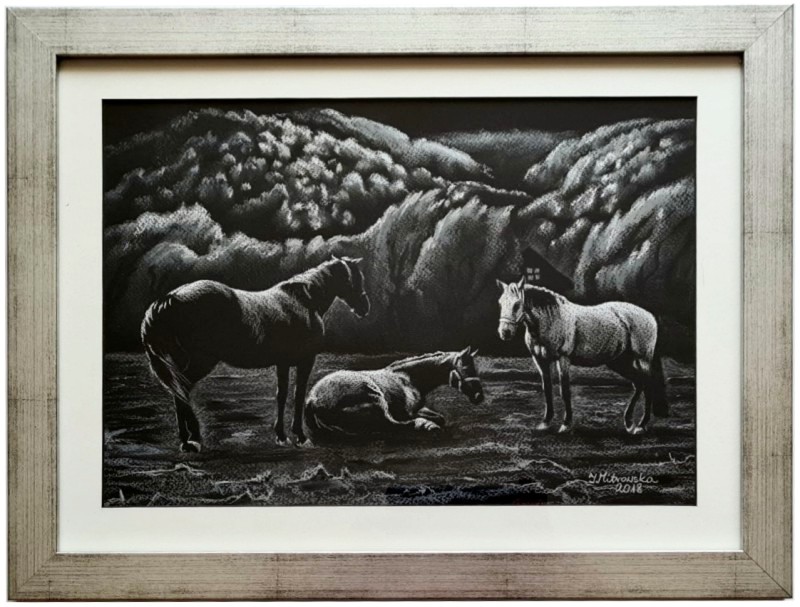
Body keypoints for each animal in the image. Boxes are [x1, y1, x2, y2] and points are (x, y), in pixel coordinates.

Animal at [141, 256, 370, 452]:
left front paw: (281, 435)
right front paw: (300, 436)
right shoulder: (306, 360)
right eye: (356, 278)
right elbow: (298, 394)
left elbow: (282, 394)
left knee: (178, 393)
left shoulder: (283, 362)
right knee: (183, 392)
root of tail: (171, 298)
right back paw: (194, 438)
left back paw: (185, 440)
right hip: (200, 361)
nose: (364, 307)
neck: (304, 302)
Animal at [304, 348, 483, 440]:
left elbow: (440, 417)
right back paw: (426, 426)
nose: (479, 397)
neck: (407, 378)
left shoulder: (418, 408)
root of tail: (313, 399)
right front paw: (426, 423)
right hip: (377, 399)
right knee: (392, 425)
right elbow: (413, 419)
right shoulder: (406, 413)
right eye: (466, 368)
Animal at [496, 278, 667, 434]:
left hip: (643, 360)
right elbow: (547, 389)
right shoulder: (540, 361)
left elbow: (565, 390)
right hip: (620, 362)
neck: (552, 318)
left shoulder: (563, 359)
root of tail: (649, 316)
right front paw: (545, 422)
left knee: (648, 386)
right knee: (638, 384)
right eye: (500, 303)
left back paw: (641, 425)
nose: (505, 332)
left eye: (517, 304)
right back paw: (629, 422)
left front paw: (566, 425)